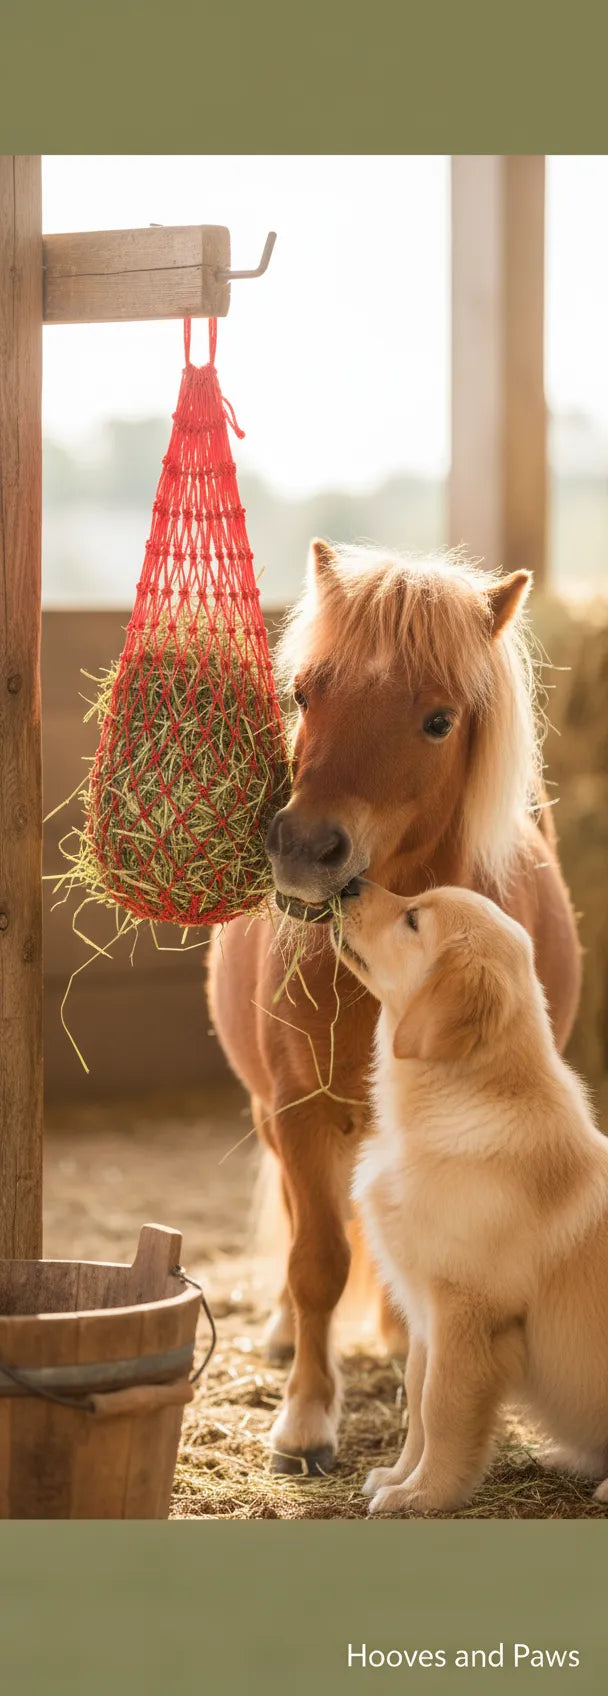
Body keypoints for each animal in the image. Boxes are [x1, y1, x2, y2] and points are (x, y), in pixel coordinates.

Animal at [208, 540, 581, 1476]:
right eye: (307, 691)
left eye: (439, 721)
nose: (305, 849)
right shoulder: (300, 1116)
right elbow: (316, 1260)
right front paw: (306, 1421)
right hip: (272, 1117)